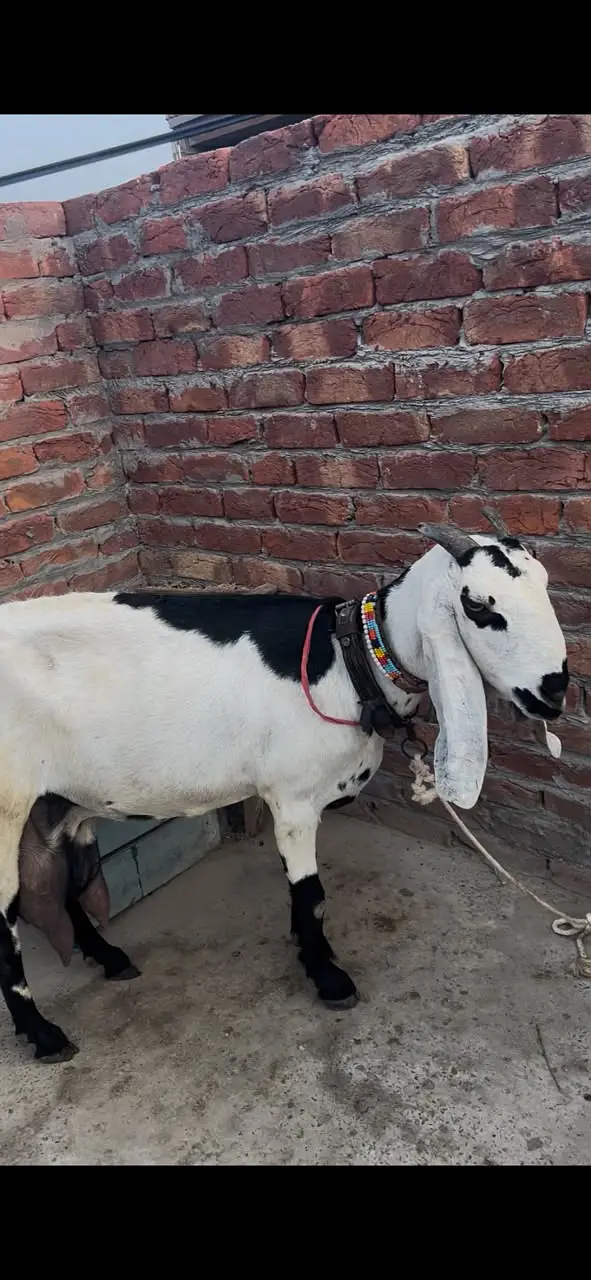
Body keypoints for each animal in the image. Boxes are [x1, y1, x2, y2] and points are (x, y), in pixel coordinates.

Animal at [0, 521, 568, 1061]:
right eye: (478, 605)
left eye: (545, 584)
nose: (555, 690)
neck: (349, 659)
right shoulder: (292, 799)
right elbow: (311, 895)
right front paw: (328, 976)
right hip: (7, 806)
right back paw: (45, 1036)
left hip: (59, 806)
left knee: (64, 886)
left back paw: (110, 960)